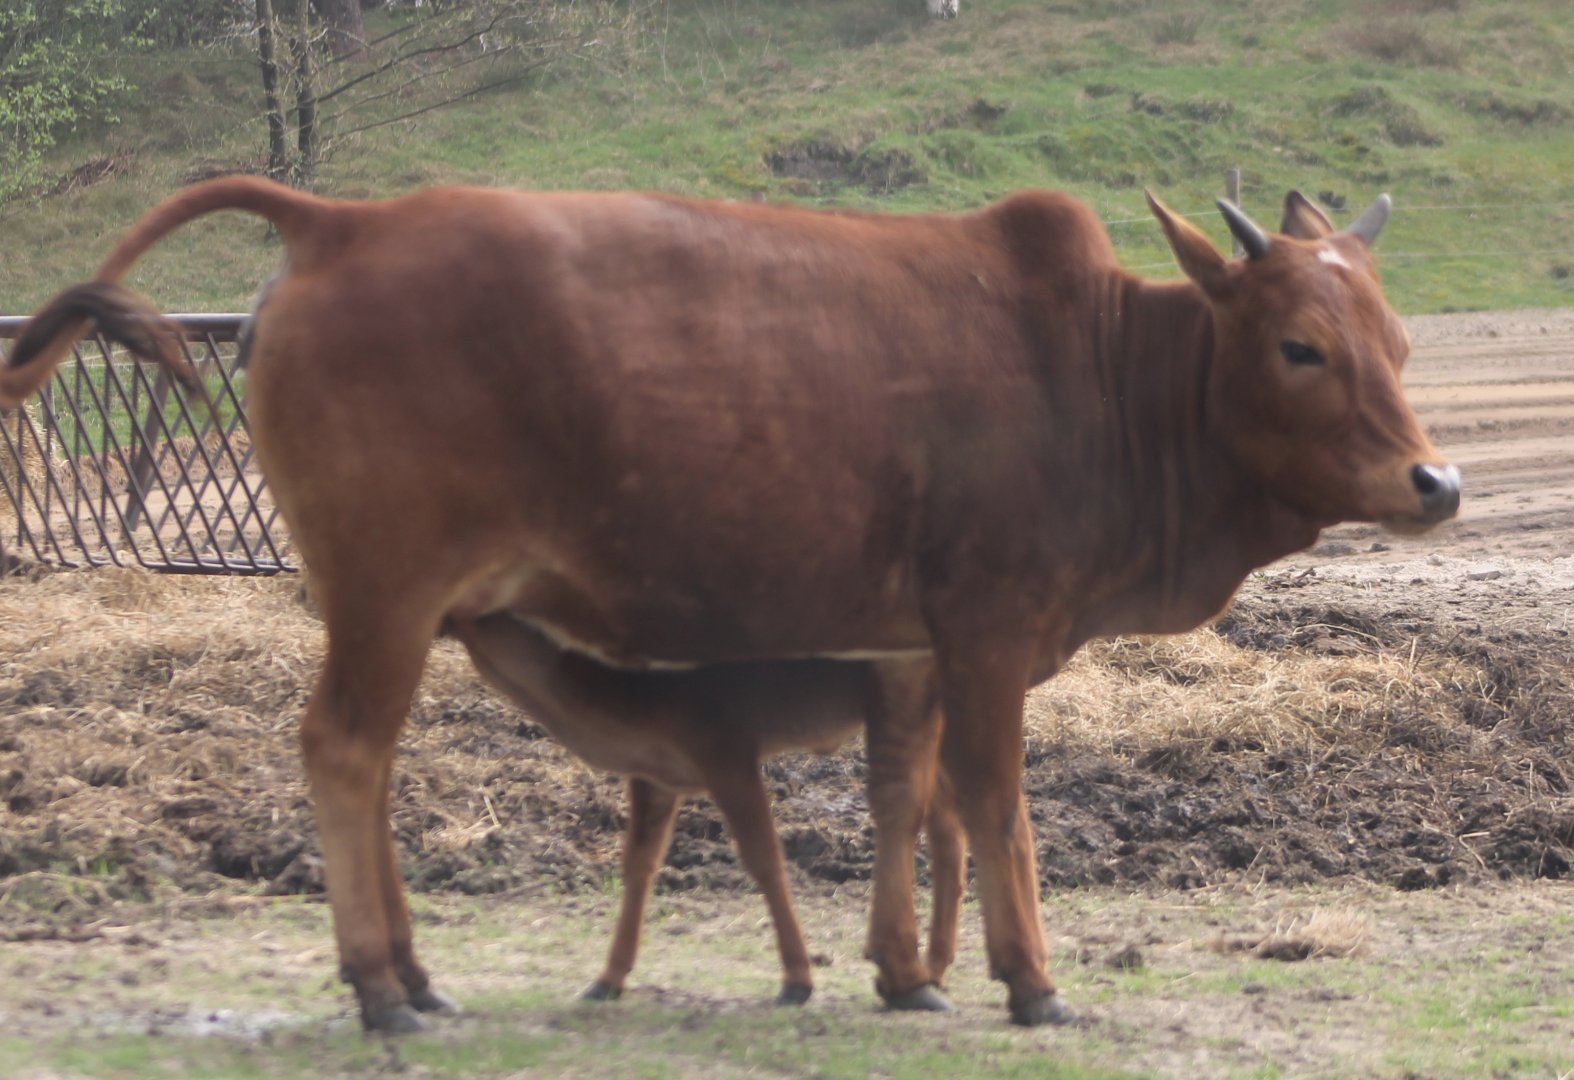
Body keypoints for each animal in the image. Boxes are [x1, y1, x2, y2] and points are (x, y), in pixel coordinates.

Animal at [2, 176, 1459, 1033]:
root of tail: (346, 216)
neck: (1091, 374)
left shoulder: (903, 648)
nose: (1434, 482)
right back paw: (382, 990)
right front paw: (1028, 981)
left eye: (1395, 342)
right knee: (346, 752)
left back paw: (414, 976)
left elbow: (904, 799)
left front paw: (905, 973)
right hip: (382, 597)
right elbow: (995, 804)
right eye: (1298, 346)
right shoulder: (987, 631)